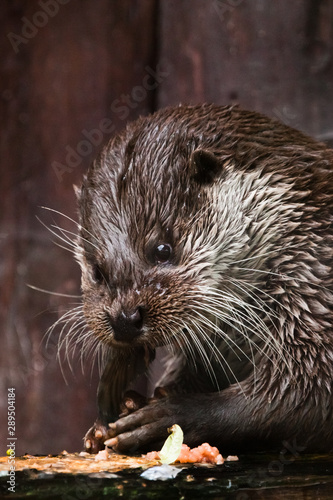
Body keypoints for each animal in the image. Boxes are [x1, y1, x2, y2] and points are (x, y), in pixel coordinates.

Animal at [75, 103, 332, 456]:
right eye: (97, 271)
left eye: (162, 249)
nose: (124, 319)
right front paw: (107, 420)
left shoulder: (314, 286)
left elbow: (306, 392)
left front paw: (168, 416)